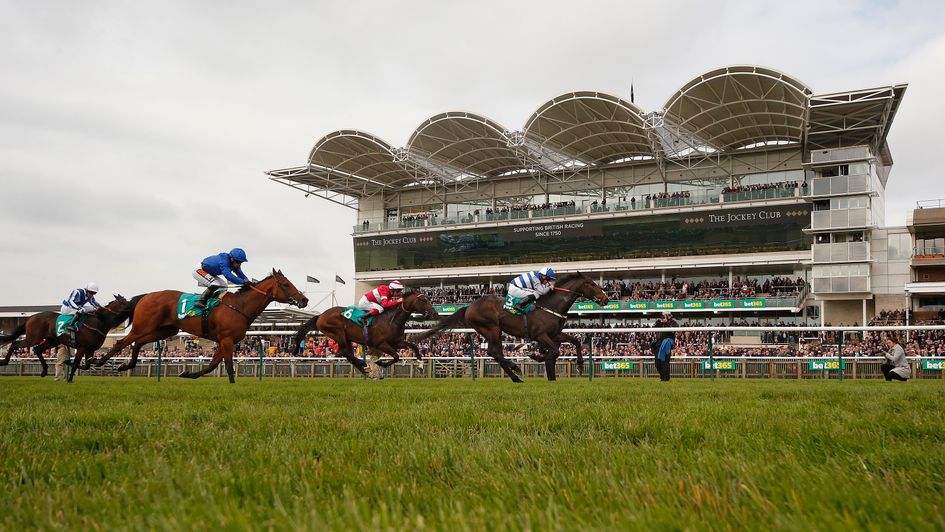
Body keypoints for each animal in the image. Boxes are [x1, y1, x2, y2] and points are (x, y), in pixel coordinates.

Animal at [0, 295, 136, 380]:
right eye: (125, 302)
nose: (135, 305)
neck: (98, 322)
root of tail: (30, 318)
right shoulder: (82, 348)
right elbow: (76, 363)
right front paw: (69, 378)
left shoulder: (90, 349)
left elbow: (86, 365)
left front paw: (67, 362)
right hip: (33, 338)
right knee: (15, 344)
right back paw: (4, 362)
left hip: (52, 341)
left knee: (37, 349)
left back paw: (44, 371)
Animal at [94, 270, 308, 383]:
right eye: (286, 284)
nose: (304, 300)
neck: (239, 306)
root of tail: (146, 296)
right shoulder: (227, 339)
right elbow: (228, 365)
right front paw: (233, 384)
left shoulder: (225, 341)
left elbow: (212, 364)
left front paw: (188, 373)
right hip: (144, 325)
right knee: (122, 342)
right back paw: (96, 361)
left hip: (165, 329)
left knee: (137, 343)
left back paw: (125, 364)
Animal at [291, 291, 438, 376]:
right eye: (423, 300)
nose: (434, 313)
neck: (392, 320)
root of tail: (320, 316)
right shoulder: (380, 343)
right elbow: (396, 356)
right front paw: (381, 363)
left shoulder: (396, 342)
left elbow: (413, 346)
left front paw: (420, 364)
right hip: (338, 332)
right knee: (344, 352)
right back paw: (363, 365)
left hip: (346, 337)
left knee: (348, 354)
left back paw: (364, 369)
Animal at [417, 272, 609, 382]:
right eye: (592, 284)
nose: (606, 298)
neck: (550, 305)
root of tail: (469, 306)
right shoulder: (540, 335)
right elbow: (555, 352)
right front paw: (536, 355)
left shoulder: (555, 334)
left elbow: (575, 342)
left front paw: (580, 365)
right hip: (492, 328)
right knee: (494, 352)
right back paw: (515, 369)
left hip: (494, 331)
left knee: (496, 353)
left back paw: (515, 377)